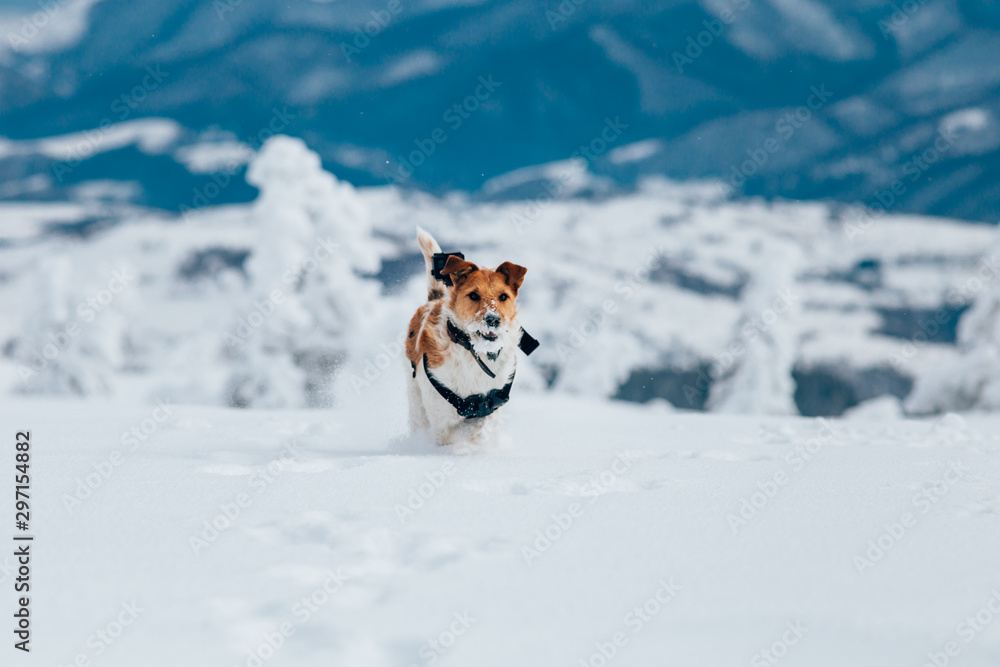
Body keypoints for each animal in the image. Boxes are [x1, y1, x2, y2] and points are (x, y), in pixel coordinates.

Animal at [404, 227, 536, 446]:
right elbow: (451, 434)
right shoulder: (440, 418)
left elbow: (482, 429)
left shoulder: (493, 401)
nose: (493, 320)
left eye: (503, 296)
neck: (475, 353)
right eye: (473, 295)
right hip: (415, 399)